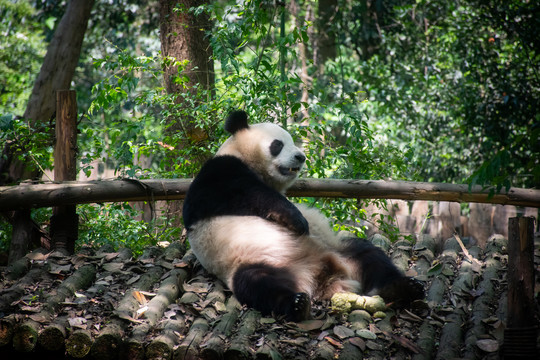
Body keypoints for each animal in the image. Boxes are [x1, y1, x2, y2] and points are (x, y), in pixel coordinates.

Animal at [184, 110, 424, 320]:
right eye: (278, 144)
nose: (300, 156)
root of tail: (320, 275)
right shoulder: (218, 175)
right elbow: (252, 195)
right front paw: (299, 222)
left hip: (339, 248)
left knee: (368, 254)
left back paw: (401, 287)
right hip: (251, 260)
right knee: (257, 283)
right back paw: (296, 304)